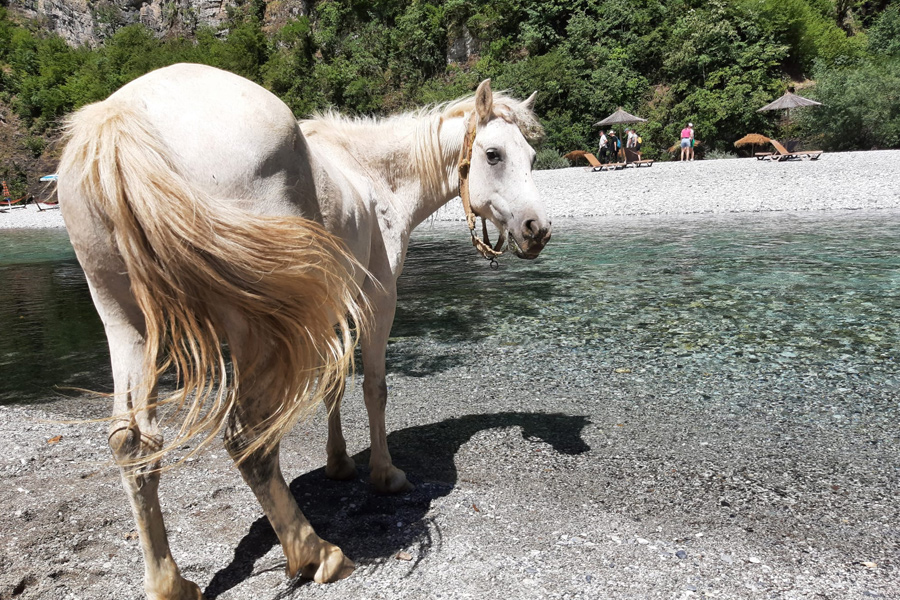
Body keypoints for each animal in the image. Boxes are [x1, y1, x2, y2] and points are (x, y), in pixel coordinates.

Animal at [58, 62, 551, 599]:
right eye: (493, 154)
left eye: (531, 156)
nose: (537, 229)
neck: (373, 176)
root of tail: (120, 118)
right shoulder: (377, 299)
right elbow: (373, 387)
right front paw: (384, 474)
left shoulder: (331, 306)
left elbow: (333, 386)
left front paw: (339, 464)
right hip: (253, 327)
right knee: (245, 437)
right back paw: (315, 552)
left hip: (128, 325)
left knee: (134, 444)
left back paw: (170, 583)